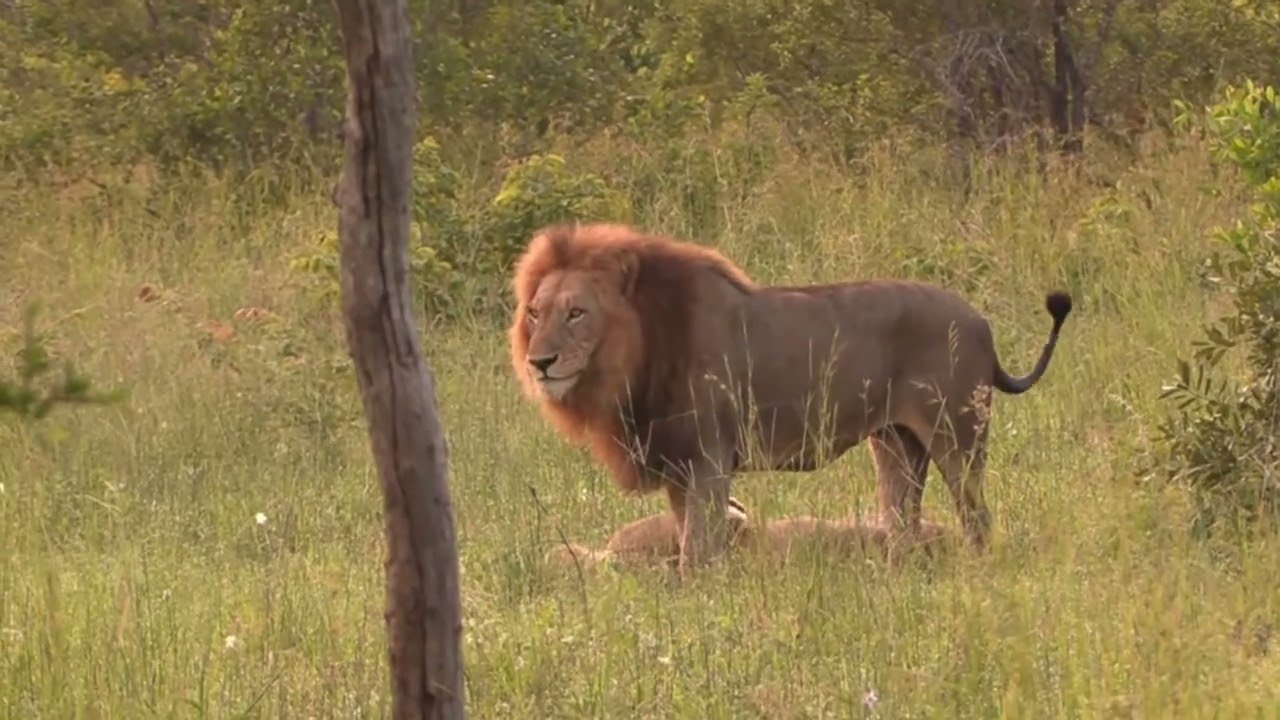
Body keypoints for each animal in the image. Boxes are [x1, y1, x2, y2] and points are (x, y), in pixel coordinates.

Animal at [510, 222, 1072, 578]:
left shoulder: (710, 459)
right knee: (902, 526)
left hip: (957, 435)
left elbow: (699, 553)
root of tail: (979, 321)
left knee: (976, 519)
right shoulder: (677, 467)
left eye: (577, 313)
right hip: (896, 443)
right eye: (535, 313)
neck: (638, 352)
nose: (540, 362)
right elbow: (690, 542)